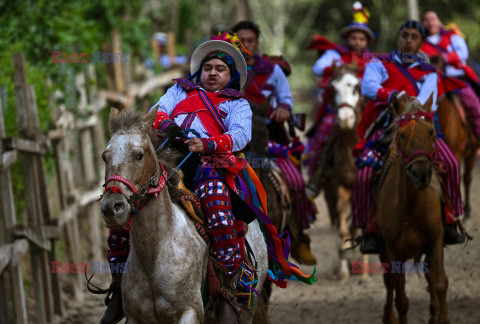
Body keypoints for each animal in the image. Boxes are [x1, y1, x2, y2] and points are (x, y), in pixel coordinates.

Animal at [100, 107, 268, 322]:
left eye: (139, 155)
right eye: (105, 157)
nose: (112, 207)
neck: (155, 253)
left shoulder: (190, 312)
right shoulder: (135, 317)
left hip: (247, 310)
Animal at [376, 94, 450, 324]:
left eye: (431, 132)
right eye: (402, 135)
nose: (422, 173)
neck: (411, 209)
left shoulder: (436, 241)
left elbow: (439, 283)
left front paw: (441, 318)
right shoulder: (392, 250)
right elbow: (401, 297)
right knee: (389, 284)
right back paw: (388, 316)